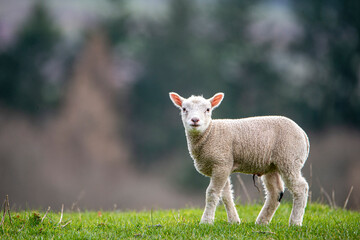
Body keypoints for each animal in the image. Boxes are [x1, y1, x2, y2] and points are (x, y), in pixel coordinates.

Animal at [169, 91, 310, 226]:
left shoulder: (221, 163)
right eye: (184, 109)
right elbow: (226, 195)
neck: (210, 133)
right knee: (275, 192)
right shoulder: (223, 165)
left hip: (289, 158)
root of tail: (303, 134)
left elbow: (212, 193)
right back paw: (262, 222)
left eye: (208, 109)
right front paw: (234, 221)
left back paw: (295, 222)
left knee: (301, 188)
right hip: (272, 165)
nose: (195, 120)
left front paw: (206, 221)